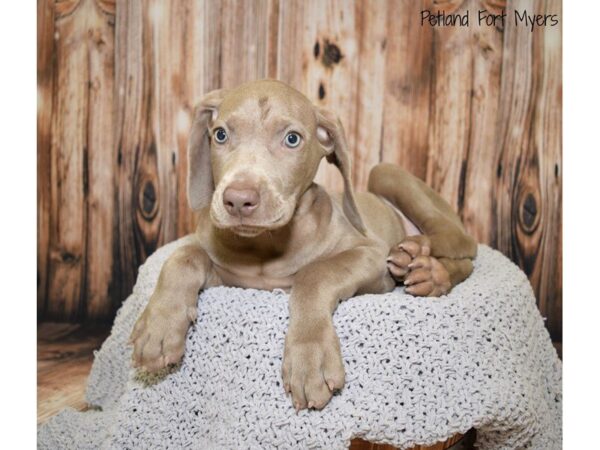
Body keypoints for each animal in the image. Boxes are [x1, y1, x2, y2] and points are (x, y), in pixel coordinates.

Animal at [131, 78, 478, 412]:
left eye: (292, 139)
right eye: (220, 134)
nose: (238, 200)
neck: (266, 245)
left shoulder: (371, 257)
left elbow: (315, 274)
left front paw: (309, 360)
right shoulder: (228, 277)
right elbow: (184, 255)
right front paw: (158, 327)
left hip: (386, 173)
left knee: (464, 245)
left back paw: (418, 255)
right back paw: (425, 271)